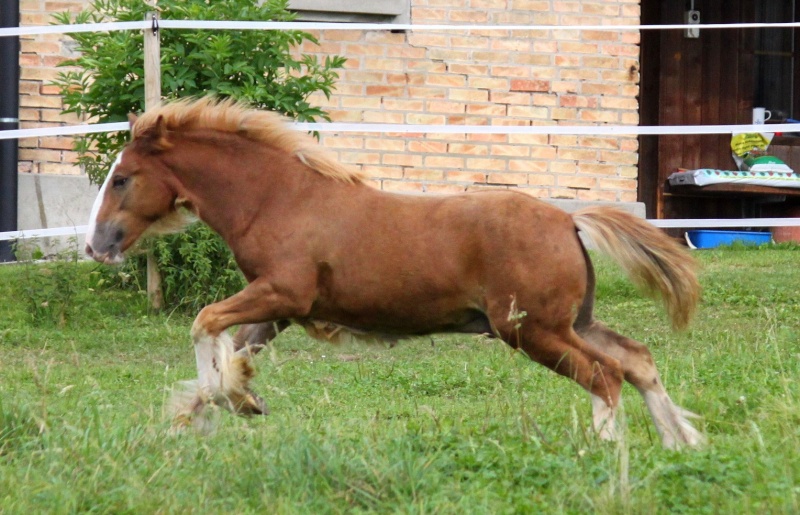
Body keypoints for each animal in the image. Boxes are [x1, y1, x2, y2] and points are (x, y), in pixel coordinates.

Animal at [84, 99, 704, 450]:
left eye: (123, 178)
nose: (97, 246)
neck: (278, 199)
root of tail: (569, 220)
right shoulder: (280, 309)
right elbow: (231, 355)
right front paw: (225, 406)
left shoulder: (281, 292)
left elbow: (204, 323)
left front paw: (225, 404)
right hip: (571, 322)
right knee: (637, 360)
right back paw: (683, 443)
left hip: (531, 330)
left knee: (605, 376)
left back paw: (606, 456)